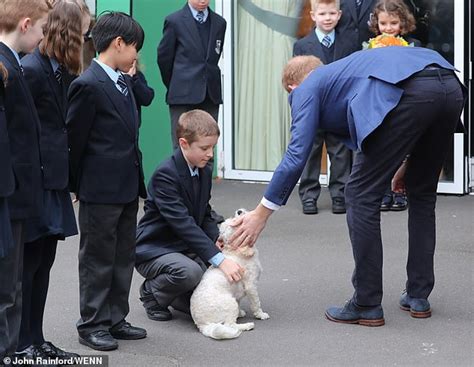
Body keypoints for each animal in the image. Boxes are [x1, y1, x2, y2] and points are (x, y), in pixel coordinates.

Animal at [190, 210, 270, 340]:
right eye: (233, 225)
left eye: (233, 218)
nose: (239, 211)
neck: (236, 251)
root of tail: (201, 324)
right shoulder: (251, 286)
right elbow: (256, 303)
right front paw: (261, 314)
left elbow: (240, 300)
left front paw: (240, 312)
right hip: (229, 303)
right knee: (230, 325)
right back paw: (247, 325)